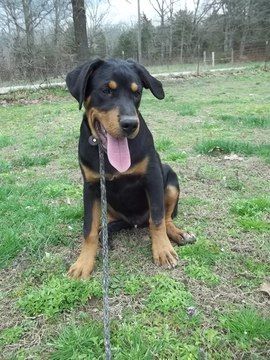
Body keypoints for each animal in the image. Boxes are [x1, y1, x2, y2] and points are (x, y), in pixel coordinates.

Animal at [65, 58, 196, 278]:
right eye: (106, 90)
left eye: (137, 92)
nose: (130, 124)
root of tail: (134, 222)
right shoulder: (91, 186)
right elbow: (88, 229)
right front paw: (83, 263)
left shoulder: (153, 177)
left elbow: (157, 219)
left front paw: (163, 251)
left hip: (169, 179)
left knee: (165, 218)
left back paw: (178, 234)